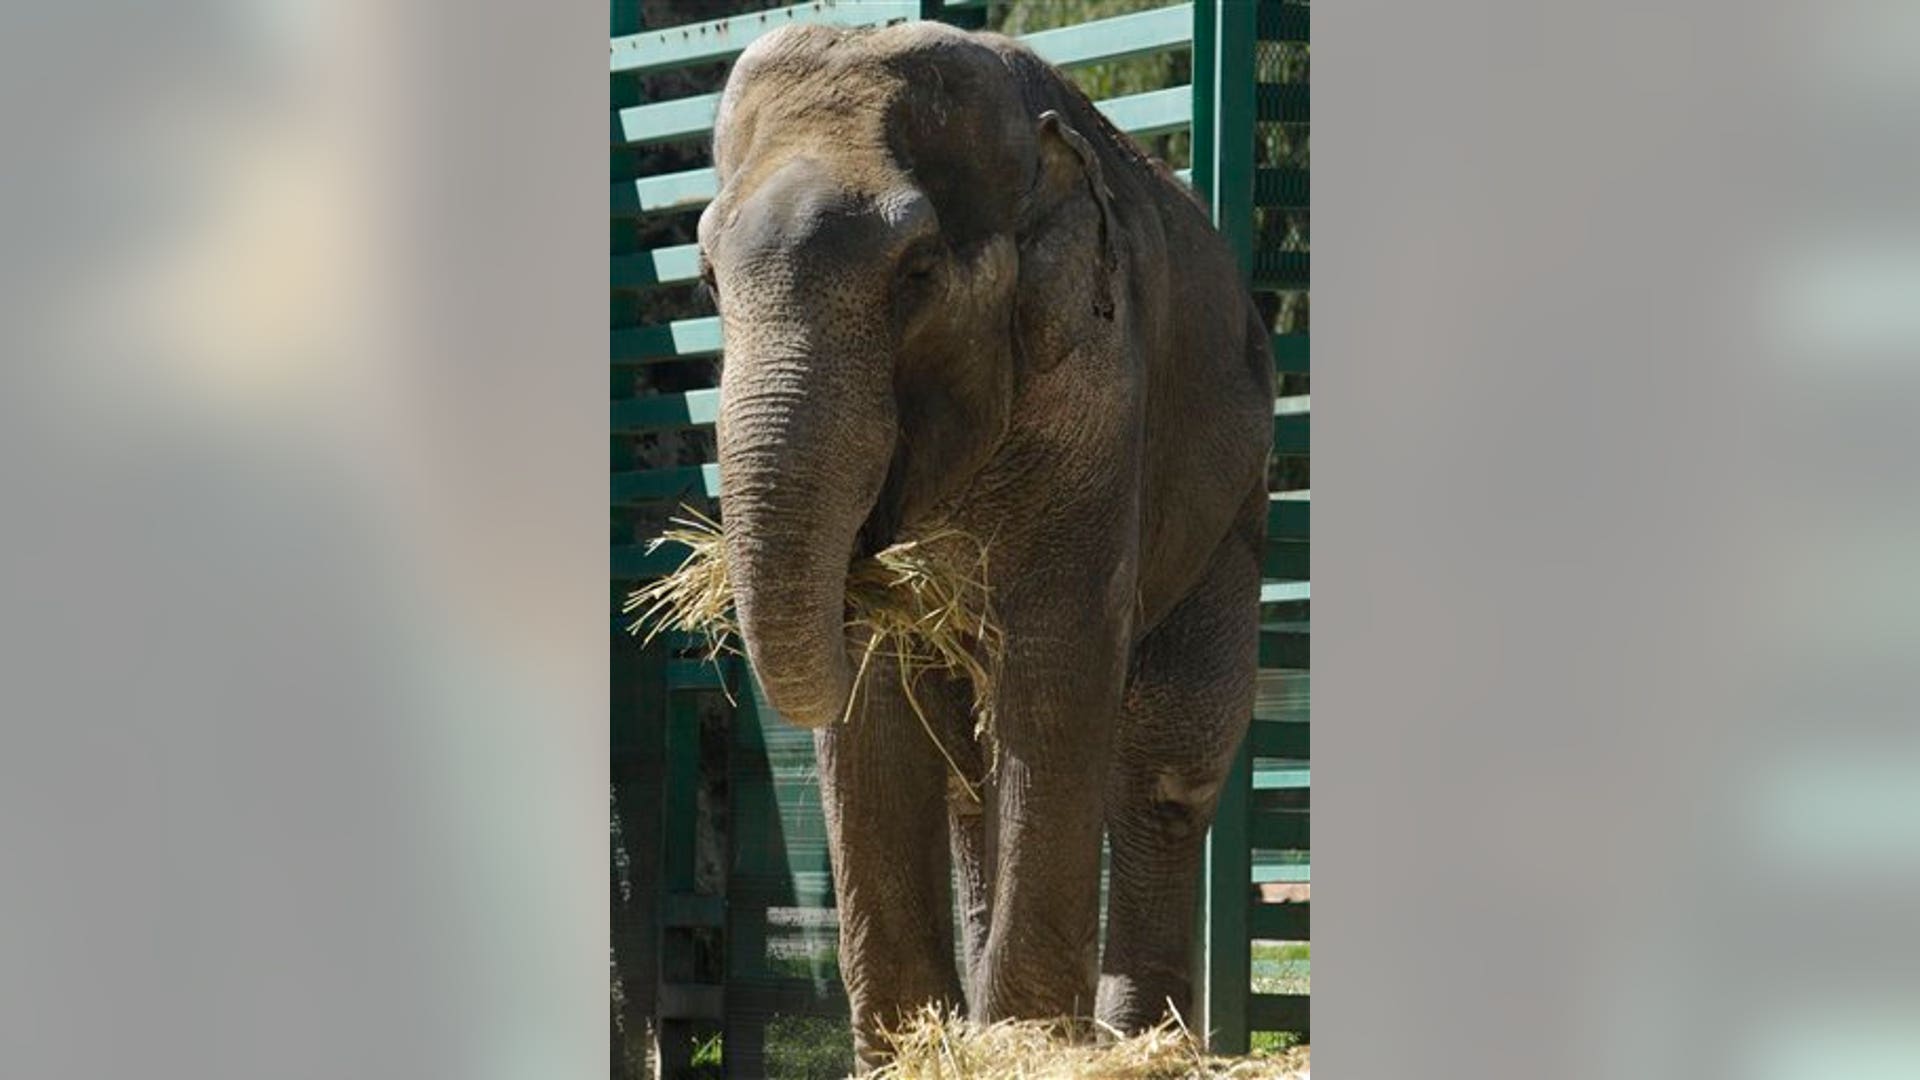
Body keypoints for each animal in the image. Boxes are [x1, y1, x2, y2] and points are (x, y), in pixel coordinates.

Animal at [697, 20, 1274, 1066]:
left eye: (918, 272)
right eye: (707, 281)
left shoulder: (1096, 383)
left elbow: (1055, 661)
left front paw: (1027, 1043)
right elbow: (878, 691)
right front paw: (909, 1054)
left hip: (1235, 505)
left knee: (1163, 765)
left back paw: (1138, 1040)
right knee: (972, 777)